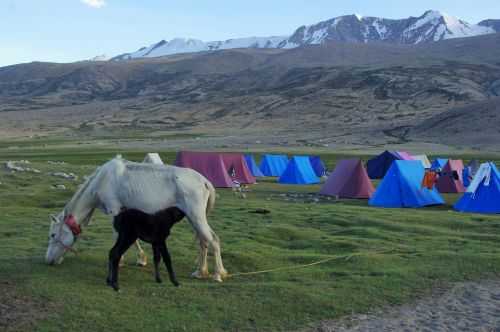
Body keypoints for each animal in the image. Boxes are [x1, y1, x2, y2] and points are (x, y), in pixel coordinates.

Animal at [46, 157, 228, 282]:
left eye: (53, 235)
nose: (48, 261)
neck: (101, 181)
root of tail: (204, 181)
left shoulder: (114, 209)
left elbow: (118, 236)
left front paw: (119, 261)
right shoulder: (125, 212)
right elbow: (131, 238)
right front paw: (141, 259)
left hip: (196, 216)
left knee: (213, 240)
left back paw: (218, 274)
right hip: (193, 217)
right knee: (204, 241)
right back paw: (200, 272)